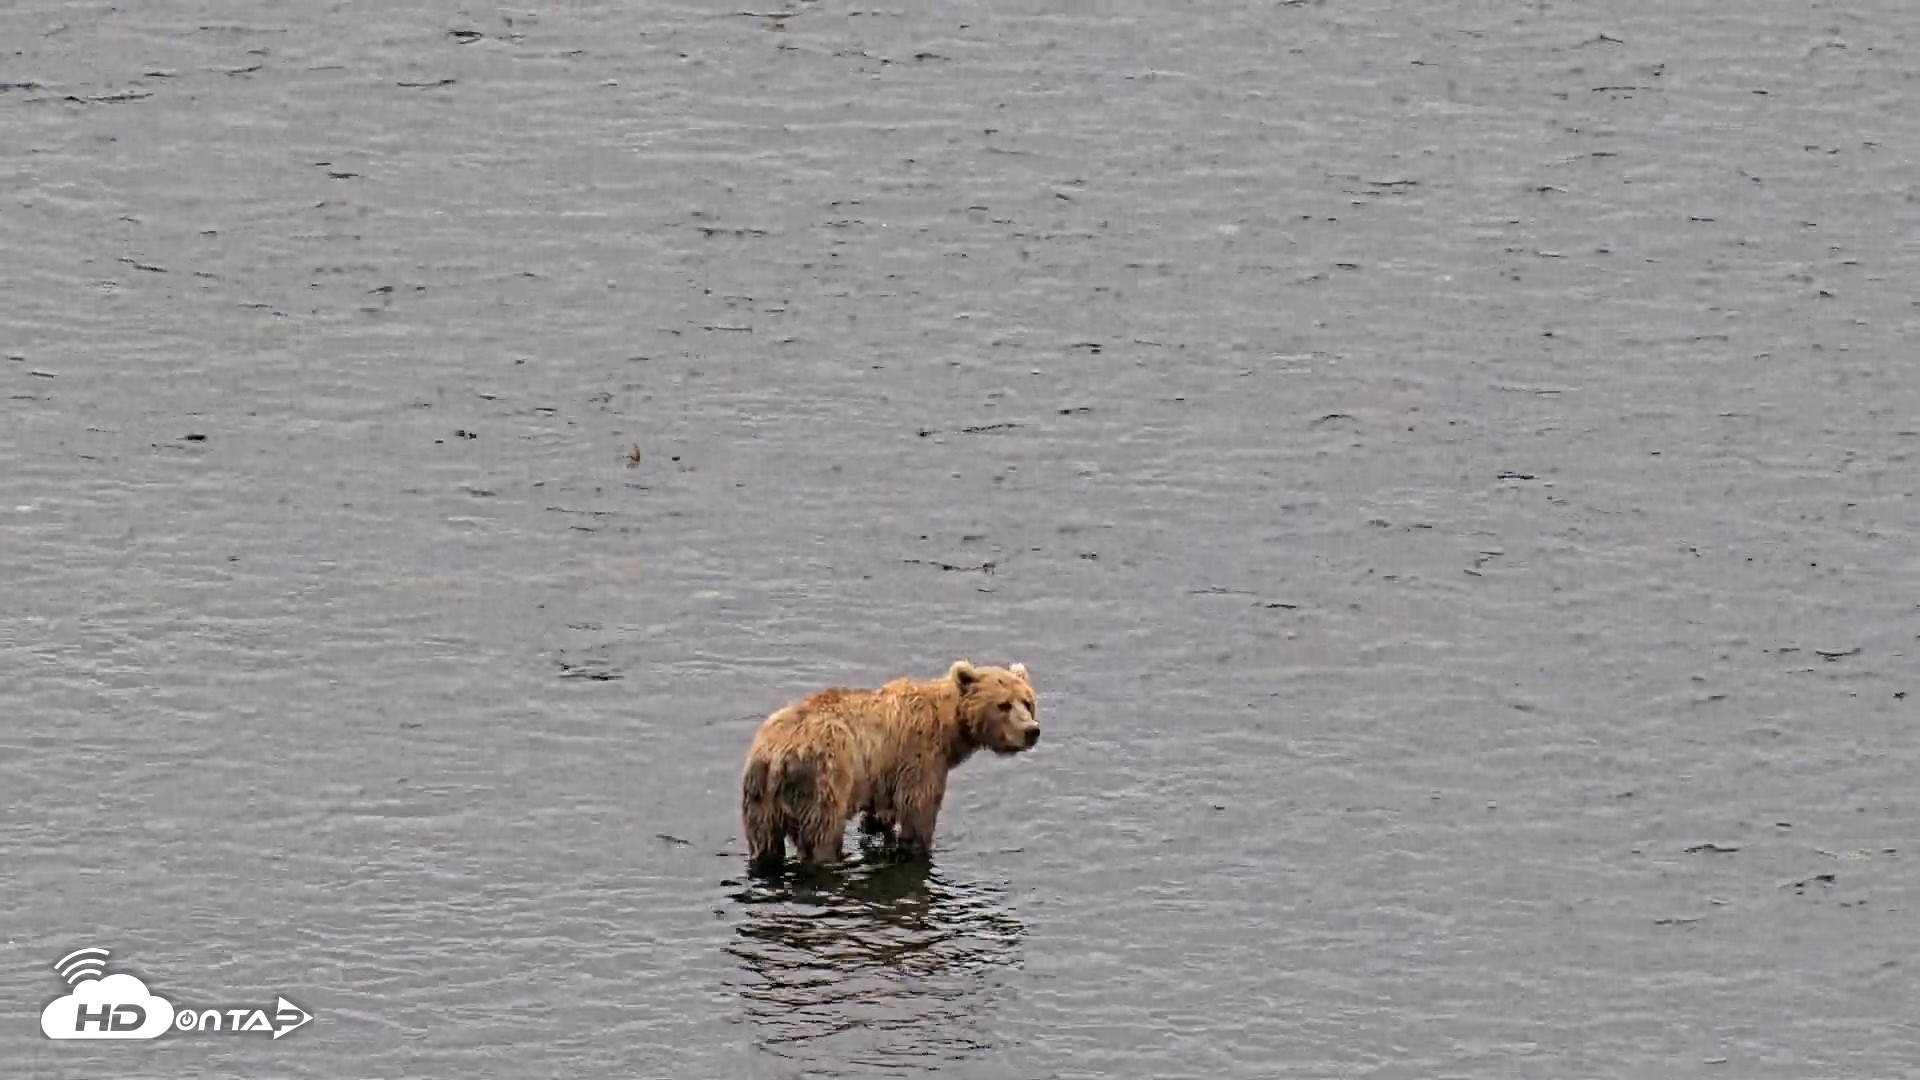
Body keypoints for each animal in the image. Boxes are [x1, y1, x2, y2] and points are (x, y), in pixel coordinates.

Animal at [740, 659, 1039, 874]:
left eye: (1027, 701)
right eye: (1003, 705)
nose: (1031, 731)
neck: (948, 728)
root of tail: (777, 754)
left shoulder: (883, 774)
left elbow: (880, 815)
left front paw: (877, 830)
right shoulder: (919, 759)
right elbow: (919, 811)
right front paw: (918, 846)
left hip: (760, 797)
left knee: (764, 843)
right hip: (822, 780)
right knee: (821, 835)